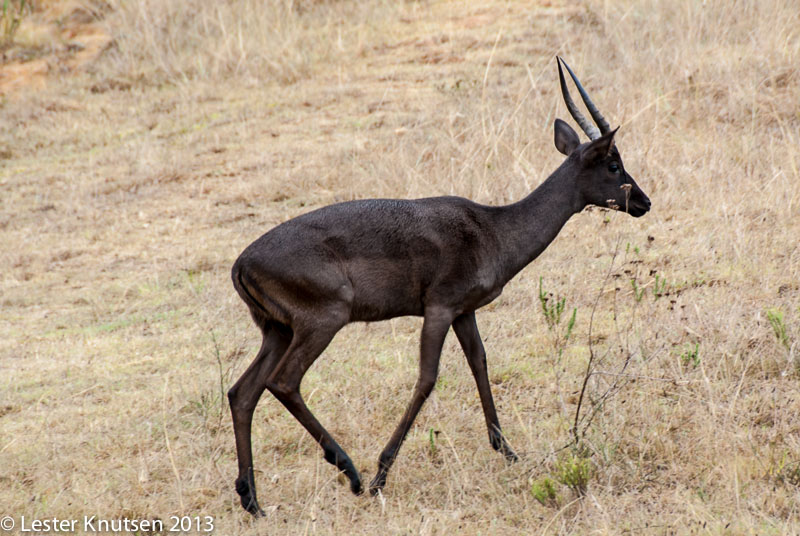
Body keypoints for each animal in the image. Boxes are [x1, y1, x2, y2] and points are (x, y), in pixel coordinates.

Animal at [227, 57, 648, 516]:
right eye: (613, 164)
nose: (644, 202)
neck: (492, 229)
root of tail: (240, 263)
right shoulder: (439, 308)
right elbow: (427, 378)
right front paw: (380, 475)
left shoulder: (465, 311)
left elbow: (480, 363)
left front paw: (509, 453)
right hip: (323, 321)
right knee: (283, 383)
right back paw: (350, 473)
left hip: (277, 331)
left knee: (241, 392)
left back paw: (252, 500)